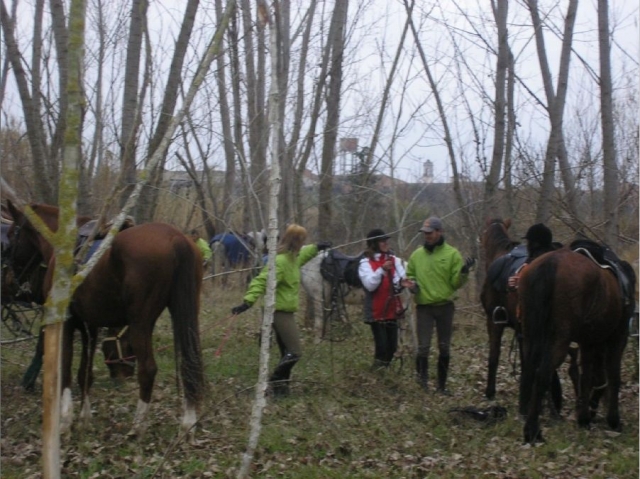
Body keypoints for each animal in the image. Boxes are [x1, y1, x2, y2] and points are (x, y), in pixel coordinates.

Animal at [5, 202, 205, 436]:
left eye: (11, 236)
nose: (10, 280)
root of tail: (176, 238)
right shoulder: (90, 325)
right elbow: (85, 372)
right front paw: (84, 418)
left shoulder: (67, 323)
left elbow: (66, 369)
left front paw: (66, 419)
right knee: (189, 364)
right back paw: (188, 423)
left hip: (140, 323)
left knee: (148, 369)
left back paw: (137, 426)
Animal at [518, 240, 636, 443]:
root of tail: (551, 263)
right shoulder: (617, 338)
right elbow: (613, 376)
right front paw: (613, 420)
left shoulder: (589, 342)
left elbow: (587, 376)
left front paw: (584, 417)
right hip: (559, 340)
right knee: (543, 375)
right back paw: (532, 431)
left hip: (530, 337)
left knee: (530, 372)